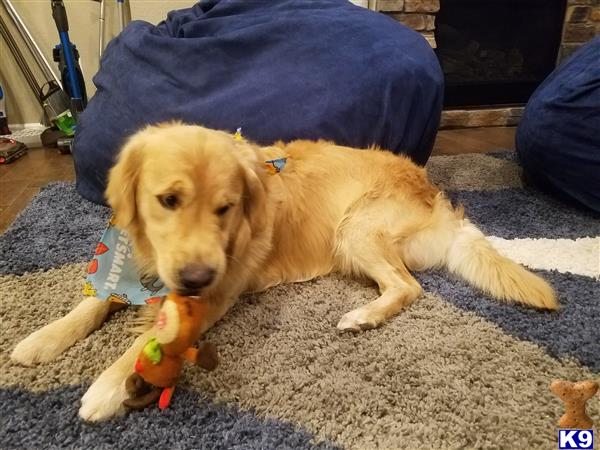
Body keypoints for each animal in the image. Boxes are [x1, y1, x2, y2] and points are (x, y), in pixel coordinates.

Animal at [10, 121, 556, 420]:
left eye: (226, 208)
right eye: (168, 200)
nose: (194, 279)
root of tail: (435, 195)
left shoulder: (217, 292)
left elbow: (147, 341)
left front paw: (105, 388)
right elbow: (94, 300)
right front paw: (42, 339)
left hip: (355, 228)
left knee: (408, 286)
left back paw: (363, 316)